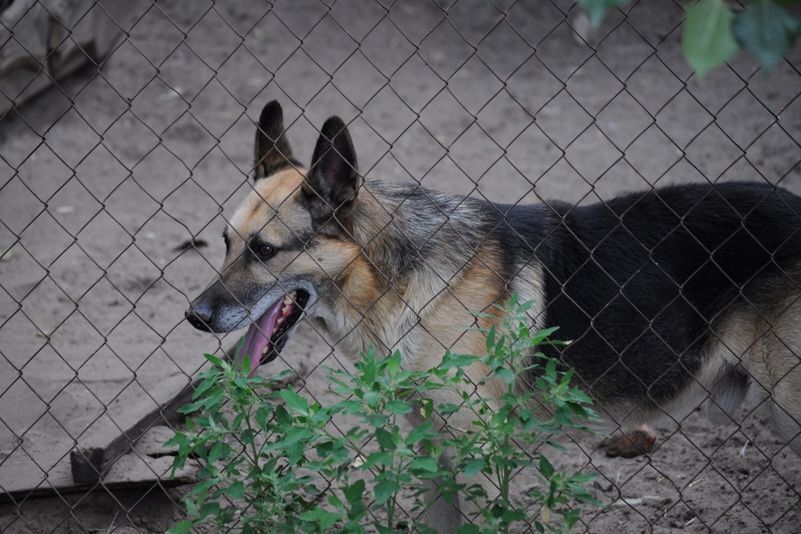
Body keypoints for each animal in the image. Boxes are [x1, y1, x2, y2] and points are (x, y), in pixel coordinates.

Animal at [184, 100, 800, 532]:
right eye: (225, 243)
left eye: (264, 251)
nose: (194, 317)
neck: (403, 280)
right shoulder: (435, 458)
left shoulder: (477, 457)